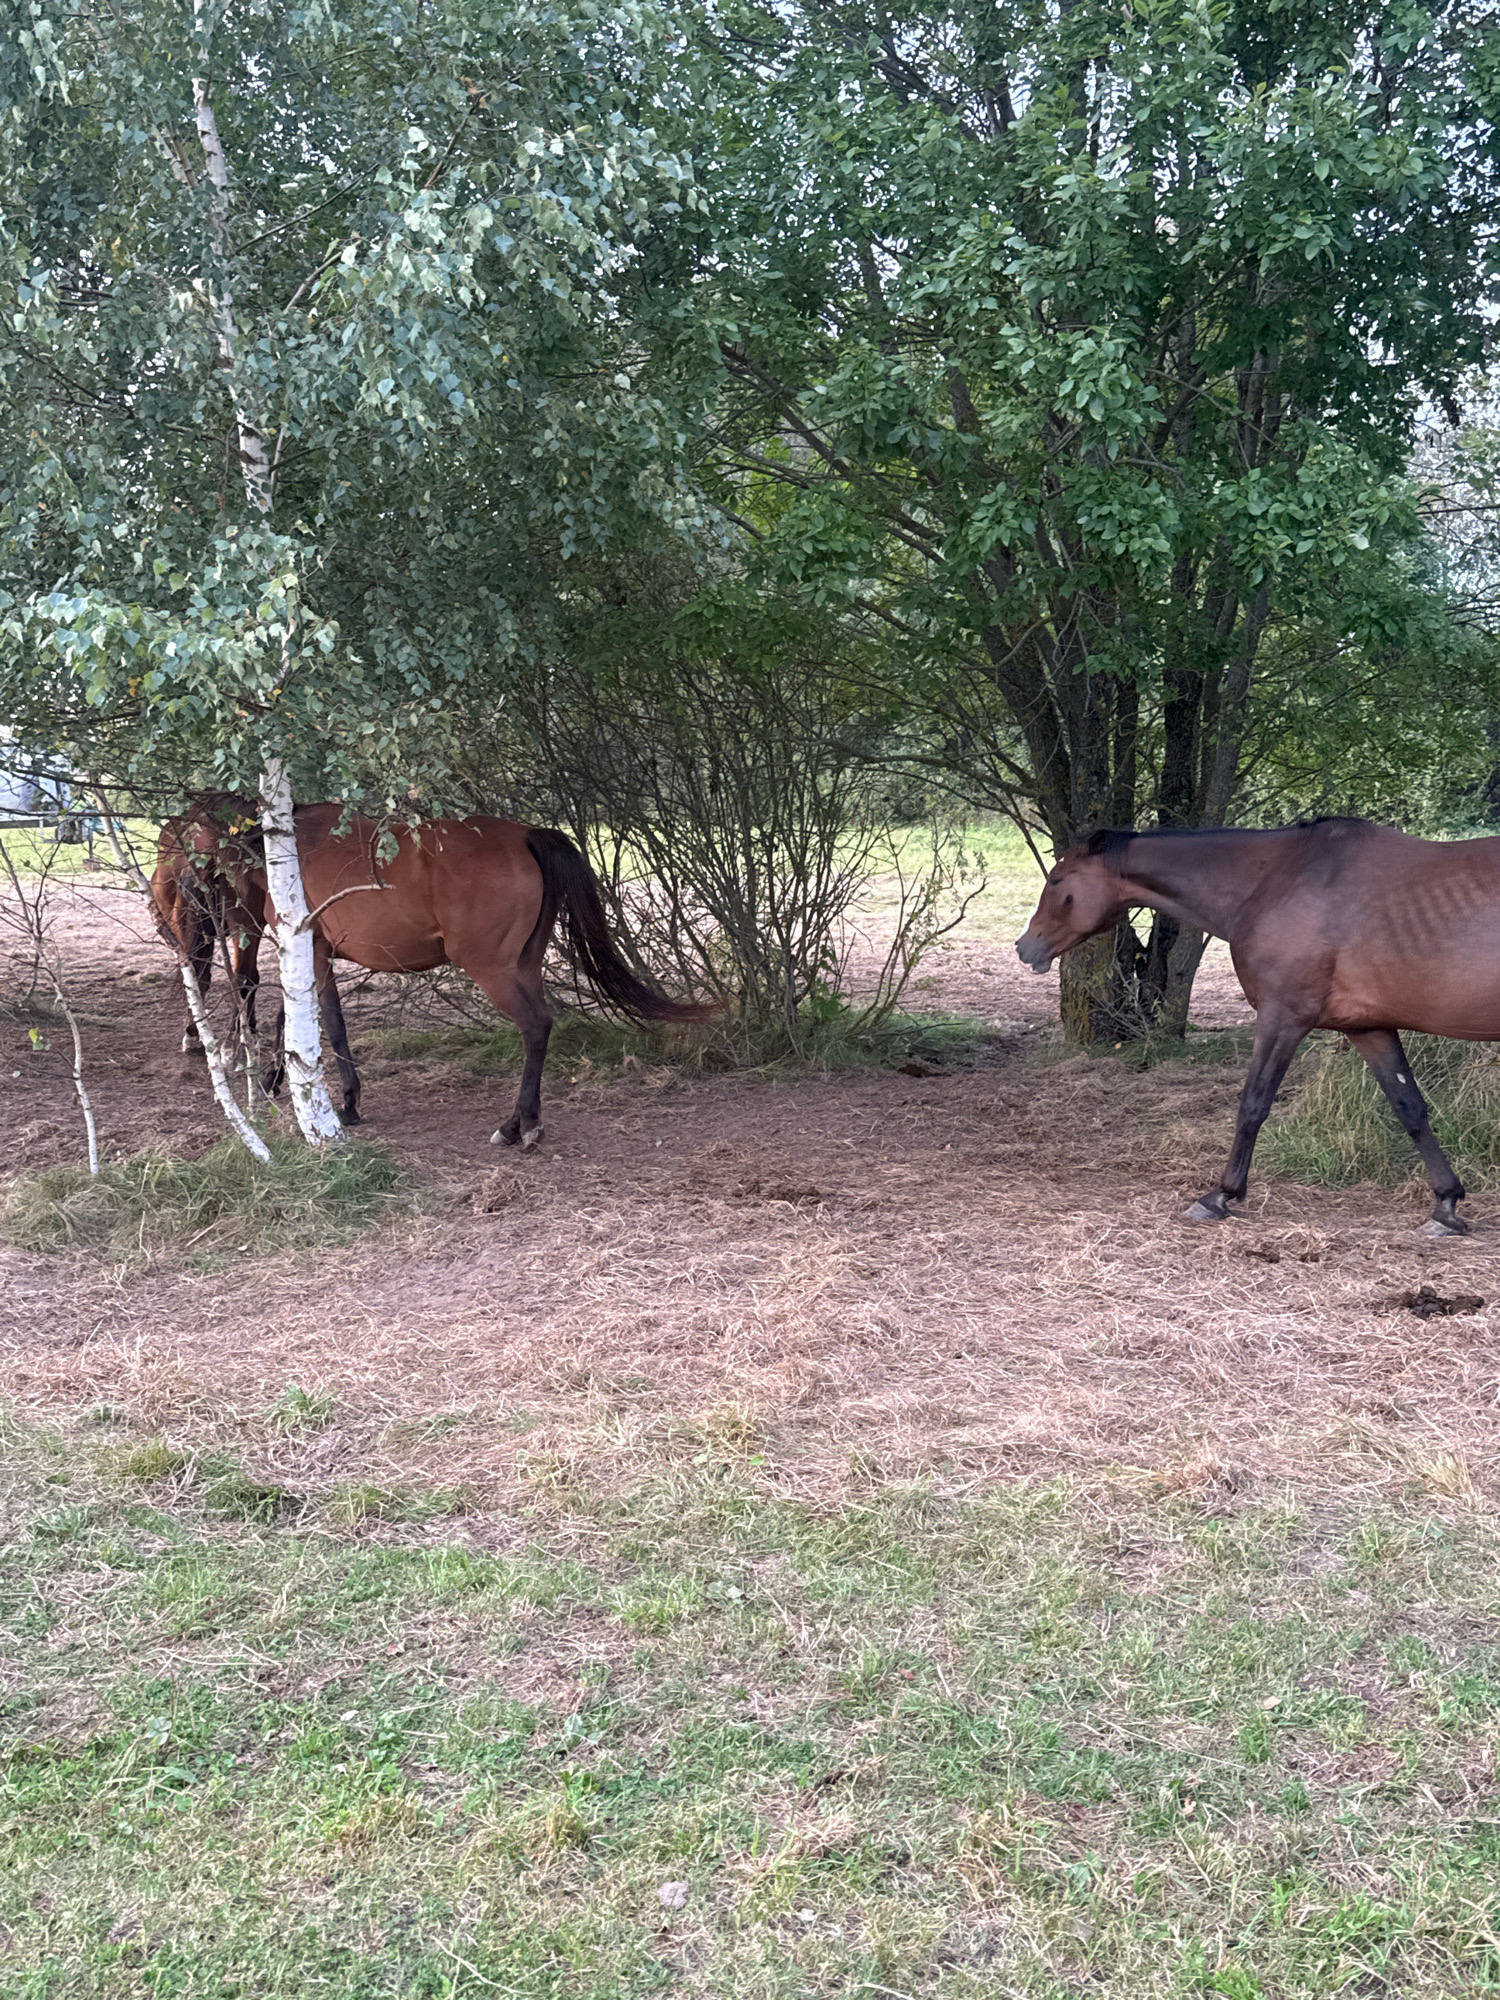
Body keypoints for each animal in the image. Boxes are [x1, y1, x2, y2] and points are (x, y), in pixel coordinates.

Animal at [178, 801, 710, 1144]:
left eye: (198, 862)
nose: (192, 915)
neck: (286, 850)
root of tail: (526, 836)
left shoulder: (314, 951)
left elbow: (322, 1022)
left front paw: (337, 1100)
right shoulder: (317, 954)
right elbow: (304, 1018)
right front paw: (285, 1080)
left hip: (492, 969)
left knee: (535, 1025)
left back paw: (518, 1125)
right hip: (525, 964)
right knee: (540, 1026)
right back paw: (526, 1120)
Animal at [1015, 817, 1500, 1236]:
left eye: (1057, 880)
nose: (1024, 946)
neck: (1276, 881)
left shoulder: (1282, 1018)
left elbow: (1253, 1104)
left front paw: (1220, 1195)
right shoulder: (1369, 1028)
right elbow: (1410, 1109)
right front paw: (1446, 1205)